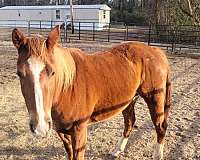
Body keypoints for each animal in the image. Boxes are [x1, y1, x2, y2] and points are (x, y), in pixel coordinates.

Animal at [12, 25, 172, 159]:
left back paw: (157, 155)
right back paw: (117, 150)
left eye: (52, 72)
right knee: (130, 123)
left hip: (154, 97)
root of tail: (157, 51)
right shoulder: (62, 131)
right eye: (19, 74)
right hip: (129, 100)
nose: (40, 127)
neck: (67, 89)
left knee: (160, 126)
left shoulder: (79, 130)